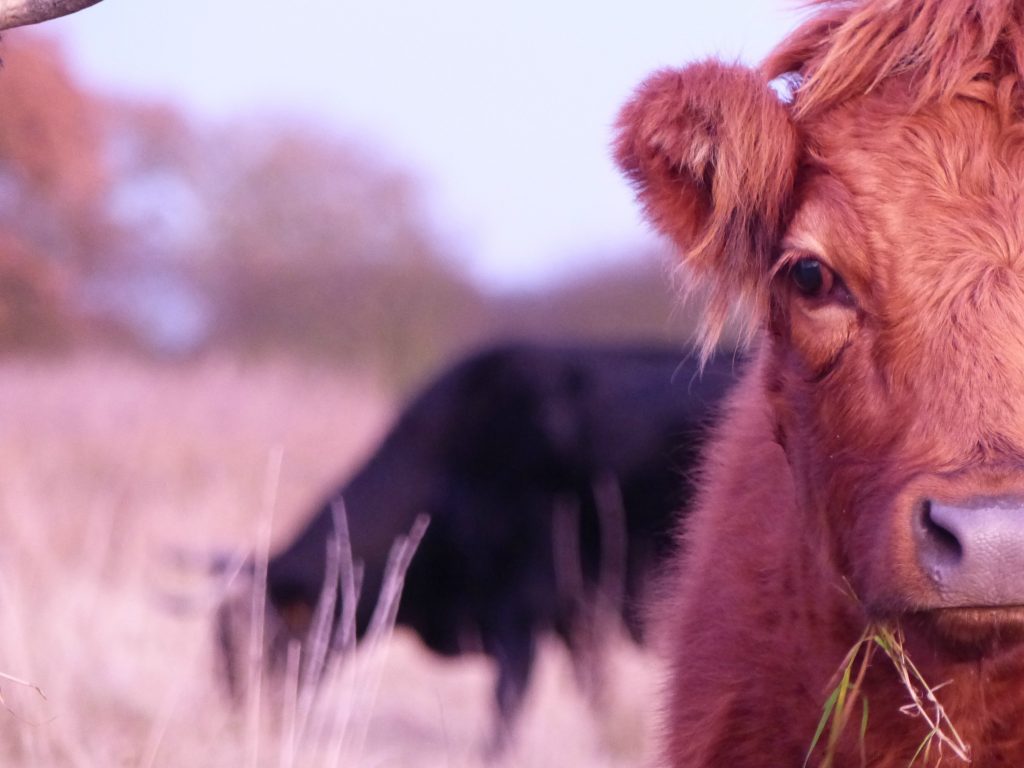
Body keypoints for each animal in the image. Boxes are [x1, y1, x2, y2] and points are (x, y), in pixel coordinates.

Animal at [218, 342, 737, 745]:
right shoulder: (578, 622)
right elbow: (595, 695)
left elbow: (505, 711)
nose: (242, 720)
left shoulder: (521, 614)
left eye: (264, 643)